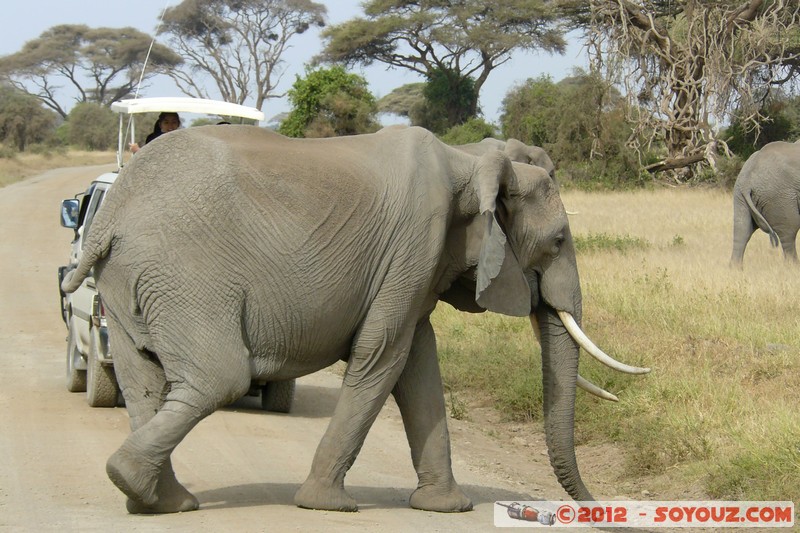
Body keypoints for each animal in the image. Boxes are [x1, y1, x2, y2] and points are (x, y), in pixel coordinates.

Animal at [59, 123, 648, 516]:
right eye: (558, 241)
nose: (596, 509)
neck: (470, 160)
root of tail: (110, 214)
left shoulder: (420, 264)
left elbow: (419, 364)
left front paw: (447, 508)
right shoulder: (415, 242)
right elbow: (382, 356)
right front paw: (328, 507)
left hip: (130, 283)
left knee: (143, 381)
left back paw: (160, 502)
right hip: (185, 274)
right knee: (218, 378)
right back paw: (140, 485)